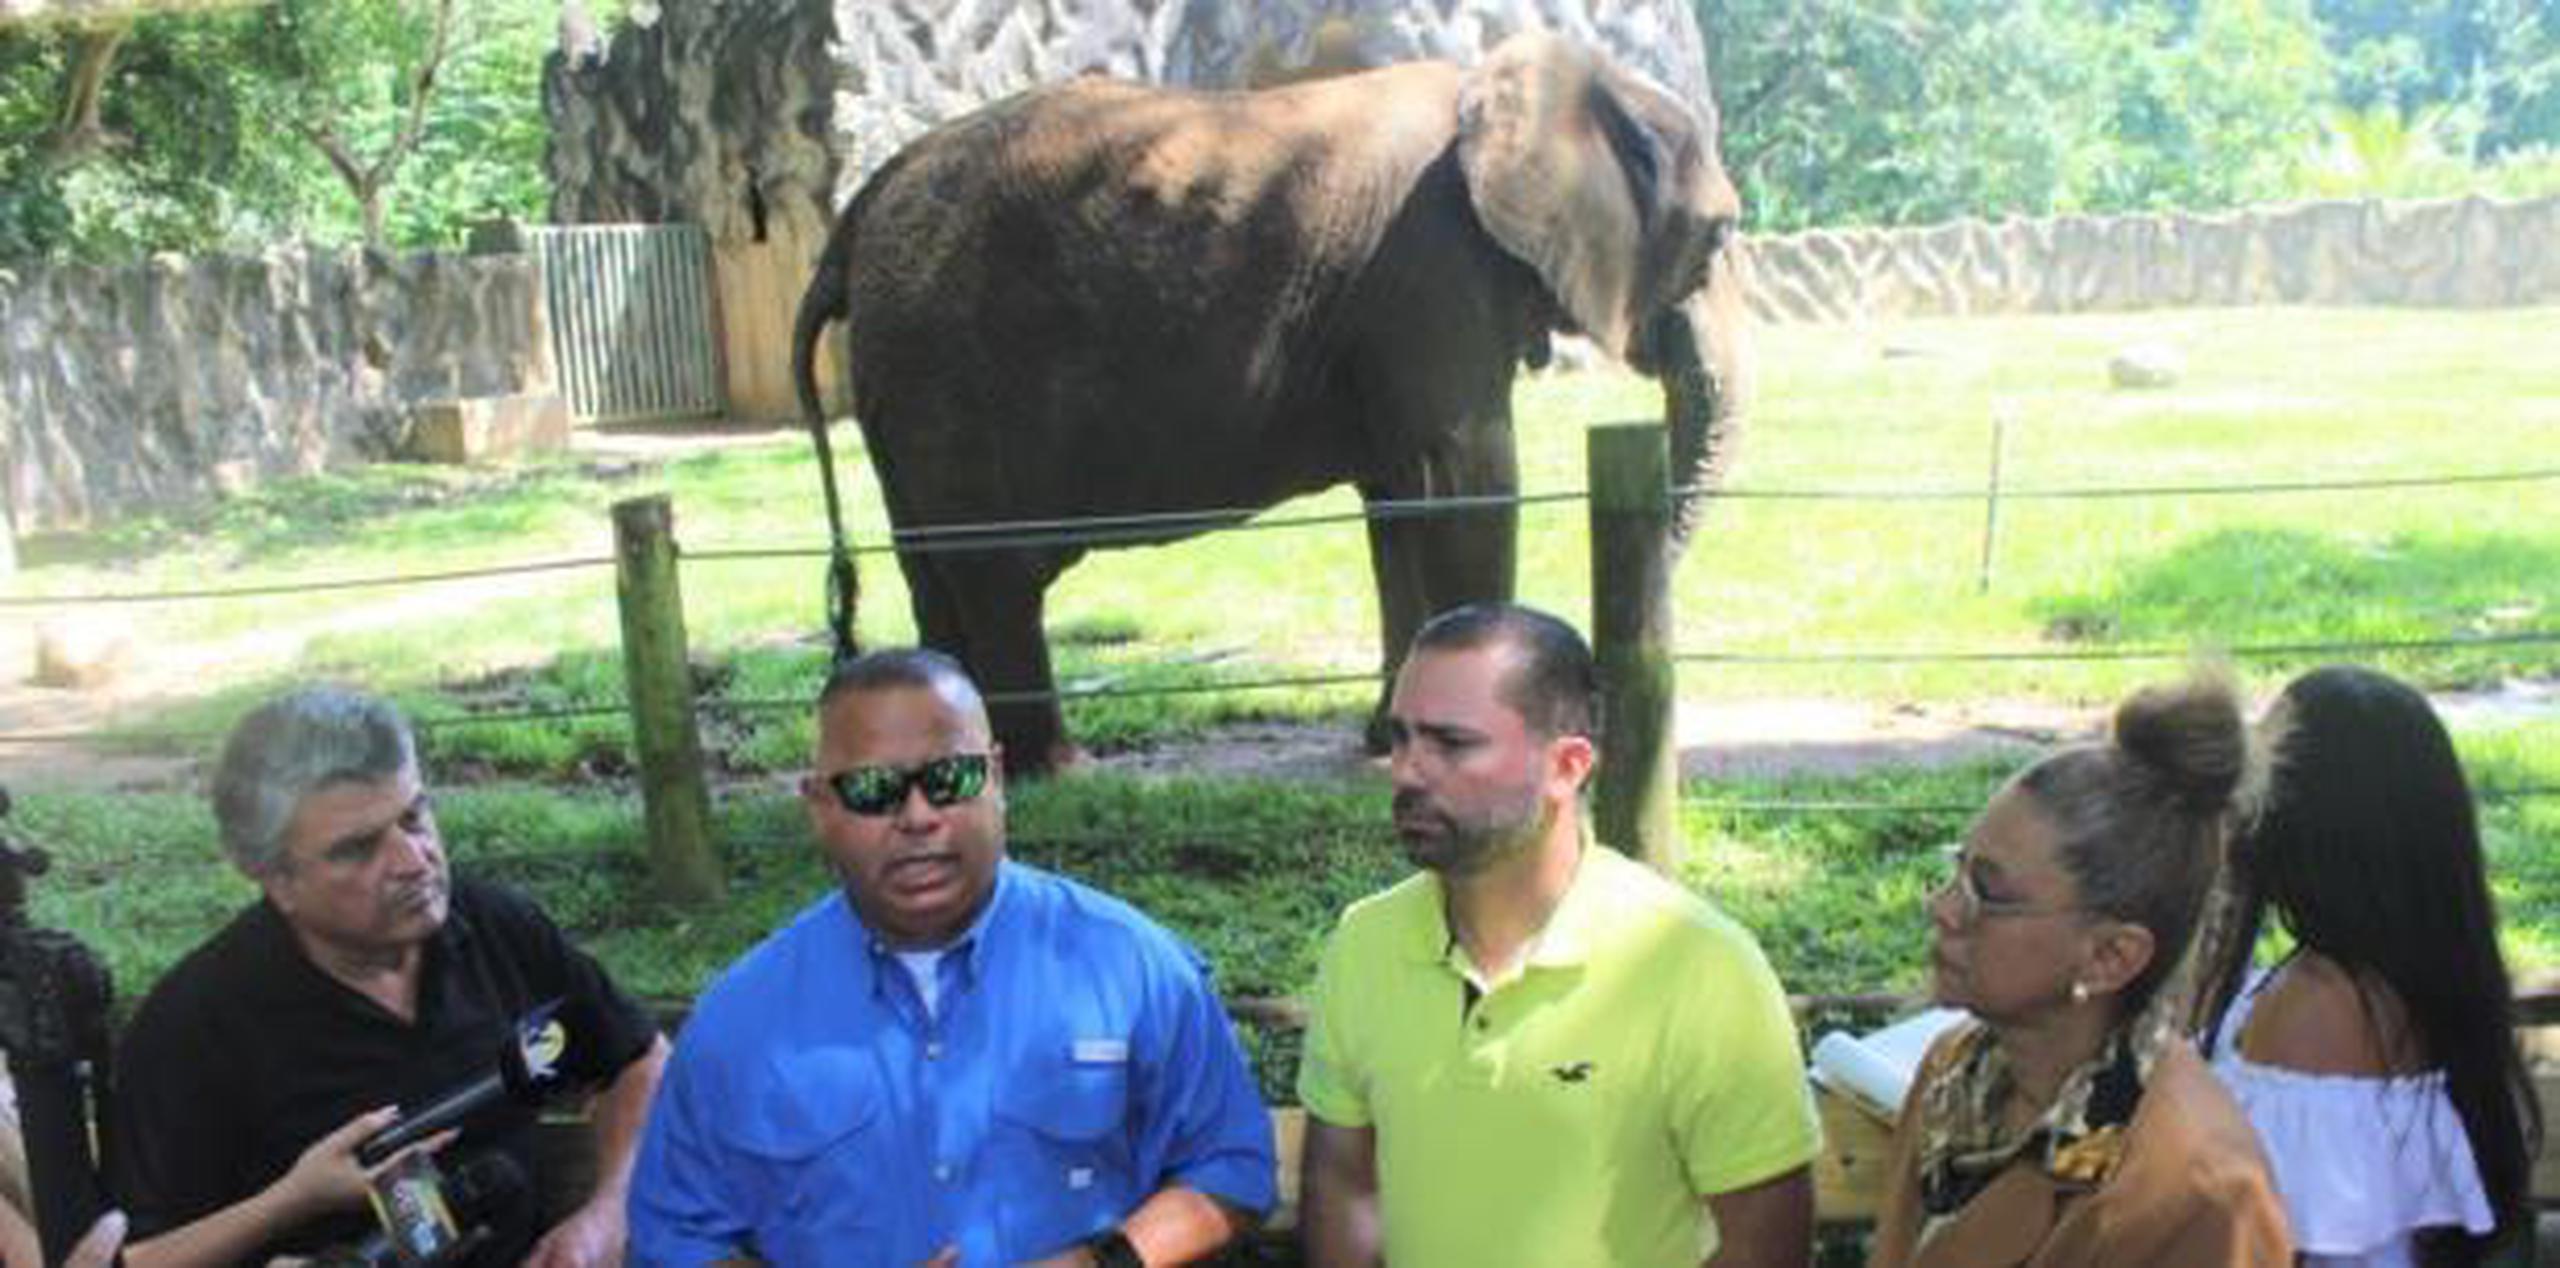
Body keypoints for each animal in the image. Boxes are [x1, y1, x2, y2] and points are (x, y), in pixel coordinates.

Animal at [798, 32, 1751, 773]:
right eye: (1721, 236)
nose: (1598, 688)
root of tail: (857, 212)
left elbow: (1400, 506)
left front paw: (1388, 742)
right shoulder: (1435, 270)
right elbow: (1465, 479)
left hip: (903, 375)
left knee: (933, 568)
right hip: (944, 363)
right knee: (993, 567)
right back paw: (1053, 768)